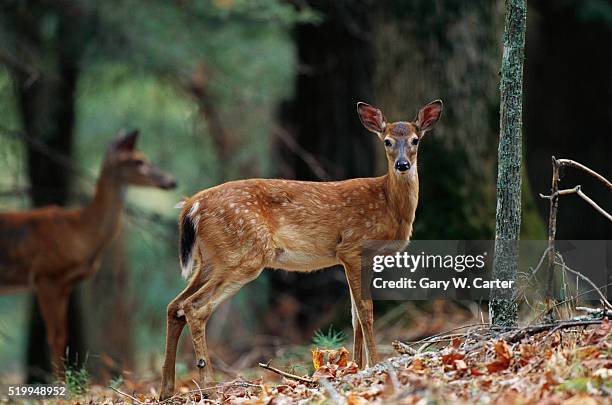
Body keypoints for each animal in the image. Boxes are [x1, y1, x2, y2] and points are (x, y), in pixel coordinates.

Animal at [0, 130, 177, 372]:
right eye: (137, 160)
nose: (171, 181)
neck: (80, 231)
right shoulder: (46, 276)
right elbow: (54, 336)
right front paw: (61, 380)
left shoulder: (64, 285)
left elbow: (63, 335)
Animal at [160, 98, 442, 398]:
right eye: (387, 141)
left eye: (414, 140)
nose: (402, 164)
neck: (388, 204)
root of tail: (191, 206)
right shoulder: (352, 247)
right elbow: (365, 310)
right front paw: (374, 364)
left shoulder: (353, 258)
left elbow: (354, 315)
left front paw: (355, 366)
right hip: (244, 254)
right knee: (194, 307)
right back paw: (209, 386)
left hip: (210, 259)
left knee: (174, 305)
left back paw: (167, 390)